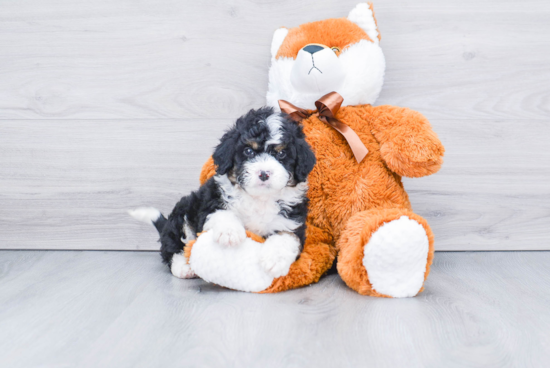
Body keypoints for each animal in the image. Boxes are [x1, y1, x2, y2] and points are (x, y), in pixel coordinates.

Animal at [130, 106, 316, 278]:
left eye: (282, 153)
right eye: (248, 151)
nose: (264, 173)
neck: (259, 199)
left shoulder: (292, 222)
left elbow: (286, 237)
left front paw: (274, 260)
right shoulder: (211, 202)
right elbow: (221, 213)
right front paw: (230, 232)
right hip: (183, 212)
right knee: (174, 245)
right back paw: (183, 267)